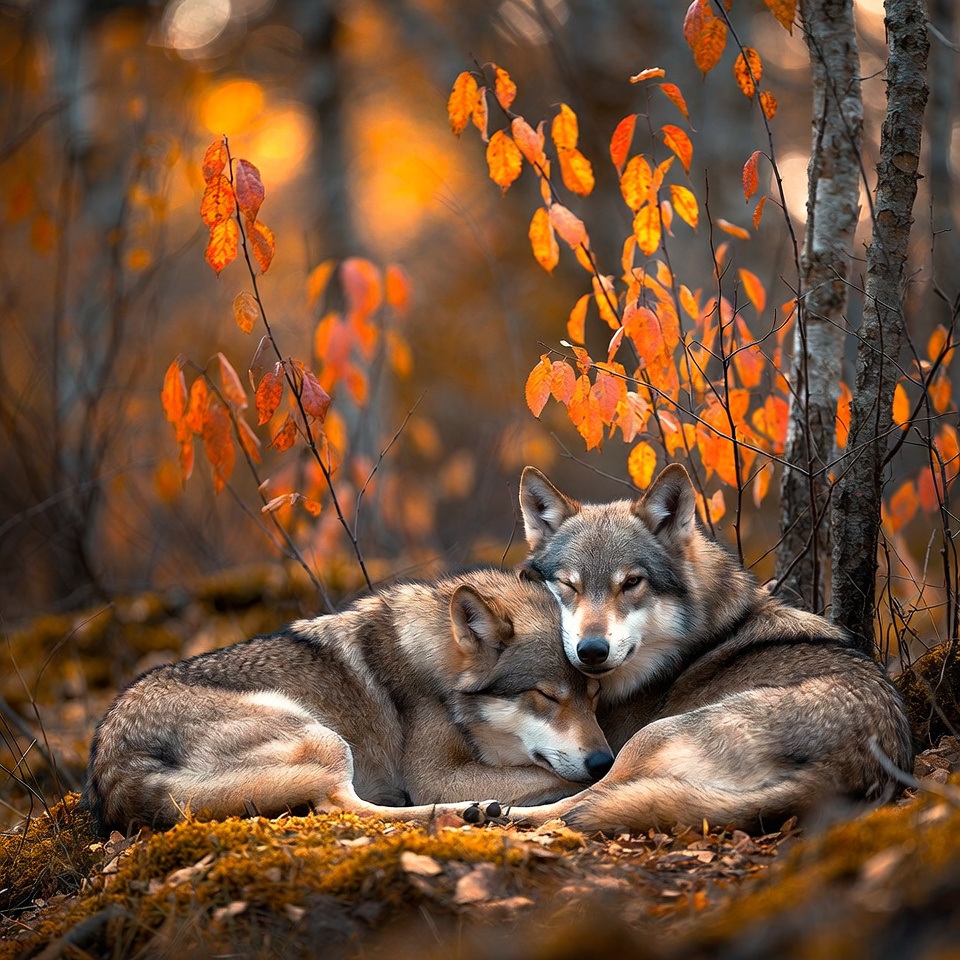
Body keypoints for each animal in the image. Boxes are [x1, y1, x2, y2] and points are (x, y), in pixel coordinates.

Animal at [84, 569, 613, 835]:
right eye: (546, 696)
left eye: (594, 693)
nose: (603, 761)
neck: (435, 665)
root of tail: (114, 767)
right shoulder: (436, 776)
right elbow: (548, 775)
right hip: (322, 737)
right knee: (344, 807)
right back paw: (471, 812)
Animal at [498, 462, 915, 834]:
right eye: (569, 585)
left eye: (631, 583)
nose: (592, 650)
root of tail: (841, 767)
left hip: (651, 736)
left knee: (577, 803)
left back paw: (489, 812)